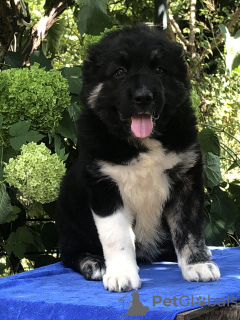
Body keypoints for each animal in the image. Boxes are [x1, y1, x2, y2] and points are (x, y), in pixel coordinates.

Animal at [55, 23, 219, 292]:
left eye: (160, 69)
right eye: (119, 72)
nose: (143, 97)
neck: (142, 142)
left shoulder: (186, 179)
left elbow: (189, 228)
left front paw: (197, 264)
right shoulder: (104, 185)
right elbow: (116, 235)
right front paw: (121, 274)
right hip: (69, 205)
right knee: (69, 254)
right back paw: (93, 263)